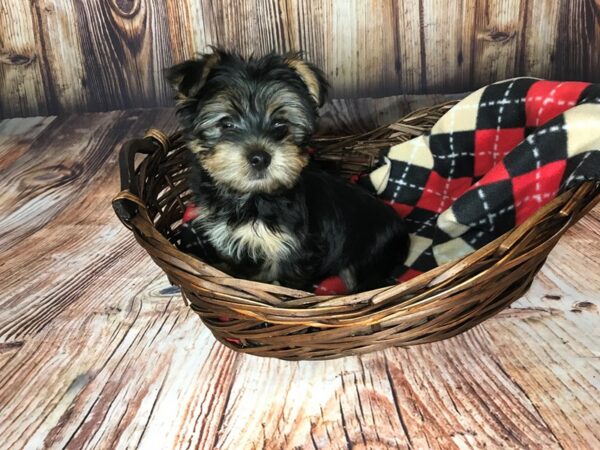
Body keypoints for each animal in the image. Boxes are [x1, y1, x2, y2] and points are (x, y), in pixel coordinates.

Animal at [166, 49, 410, 292]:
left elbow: (289, 286)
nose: (260, 157)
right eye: (226, 124)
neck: (252, 196)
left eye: (280, 124)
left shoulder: (297, 250)